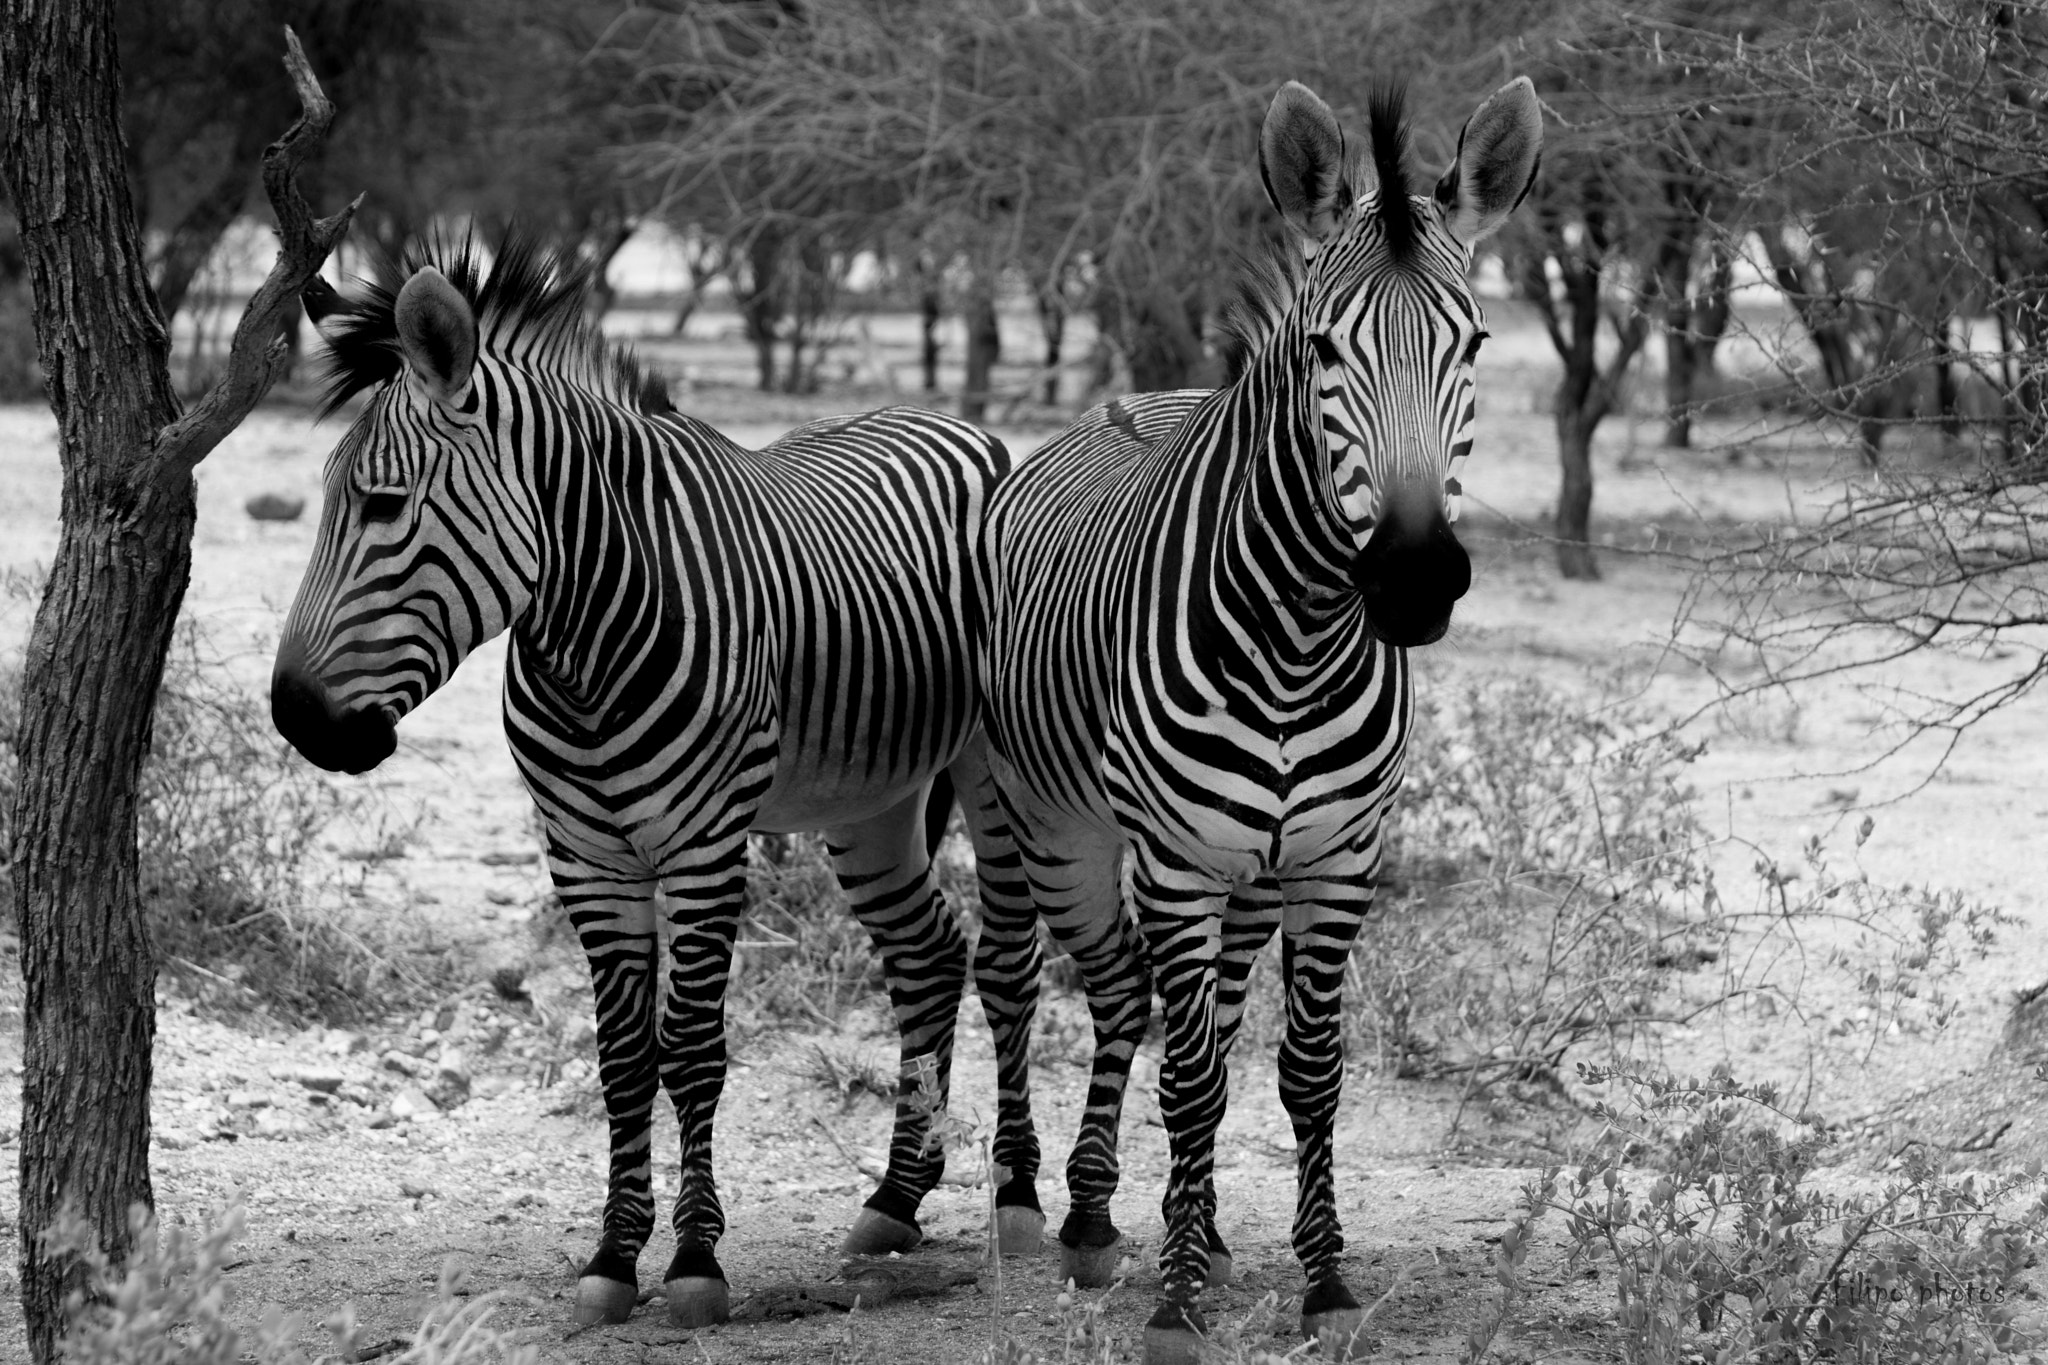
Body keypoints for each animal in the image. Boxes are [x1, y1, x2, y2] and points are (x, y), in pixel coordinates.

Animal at [270, 236, 1050, 1329]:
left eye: (383, 506)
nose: (293, 715)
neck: (587, 643)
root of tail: (957, 424)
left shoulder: (703, 846)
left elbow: (689, 1046)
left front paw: (694, 1259)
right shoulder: (585, 856)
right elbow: (621, 1054)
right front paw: (611, 1253)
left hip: (990, 771)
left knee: (1008, 963)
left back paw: (1018, 1200)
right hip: (869, 798)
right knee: (927, 955)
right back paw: (896, 1198)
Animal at [977, 79, 1541, 1362]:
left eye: (1474, 343)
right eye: (1323, 349)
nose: (1413, 583)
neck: (1295, 642)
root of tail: (1135, 398)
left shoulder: (1337, 860)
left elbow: (1303, 1072)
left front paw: (1319, 1280)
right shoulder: (1177, 860)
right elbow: (1185, 1075)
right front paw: (1177, 1300)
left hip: (1247, 872)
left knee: (1202, 1020)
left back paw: (1193, 1228)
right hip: (1041, 824)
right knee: (1069, 987)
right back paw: (1070, 1216)